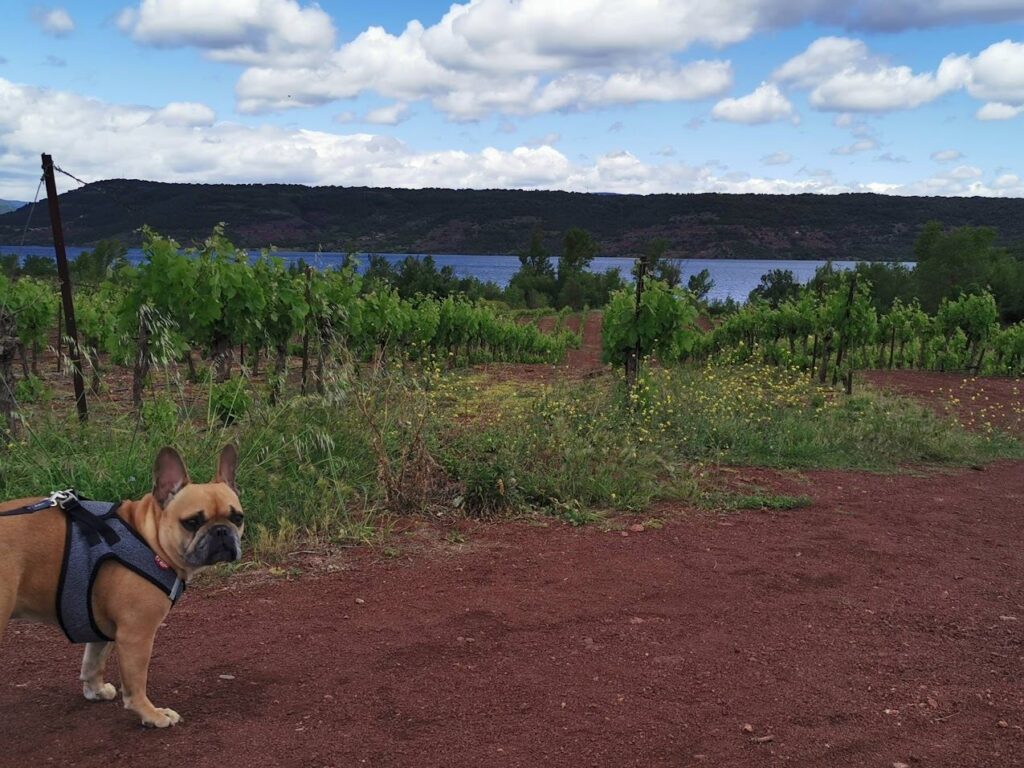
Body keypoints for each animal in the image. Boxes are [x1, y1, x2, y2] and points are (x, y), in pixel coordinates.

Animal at [0, 444, 241, 729]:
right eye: (192, 522)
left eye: (237, 518)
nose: (221, 531)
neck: (147, 536)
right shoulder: (136, 634)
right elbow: (136, 683)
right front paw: (152, 714)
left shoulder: (100, 626)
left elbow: (93, 660)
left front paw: (95, 690)